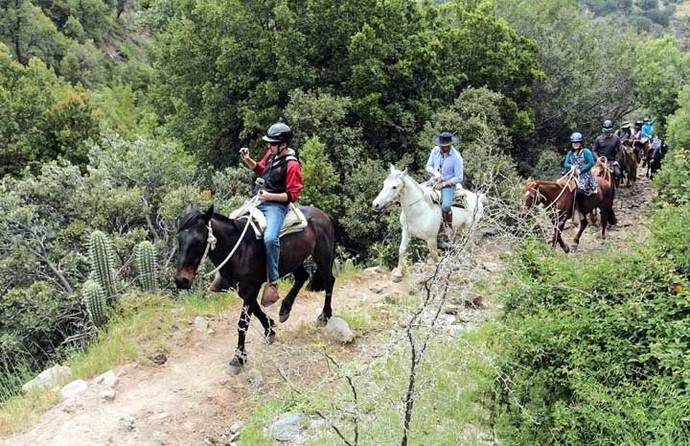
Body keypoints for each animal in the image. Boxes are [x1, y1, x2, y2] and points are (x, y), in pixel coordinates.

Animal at [175, 205, 336, 372]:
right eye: (179, 239)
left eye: (200, 240)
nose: (181, 280)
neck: (239, 249)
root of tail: (324, 215)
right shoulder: (242, 288)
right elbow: (256, 309)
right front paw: (270, 330)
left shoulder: (251, 286)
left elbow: (243, 323)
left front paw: (238, 358)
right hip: (294, 260)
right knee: (302, 277)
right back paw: (285, 309)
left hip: (322, 256)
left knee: (329, 281)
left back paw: (324, 316)